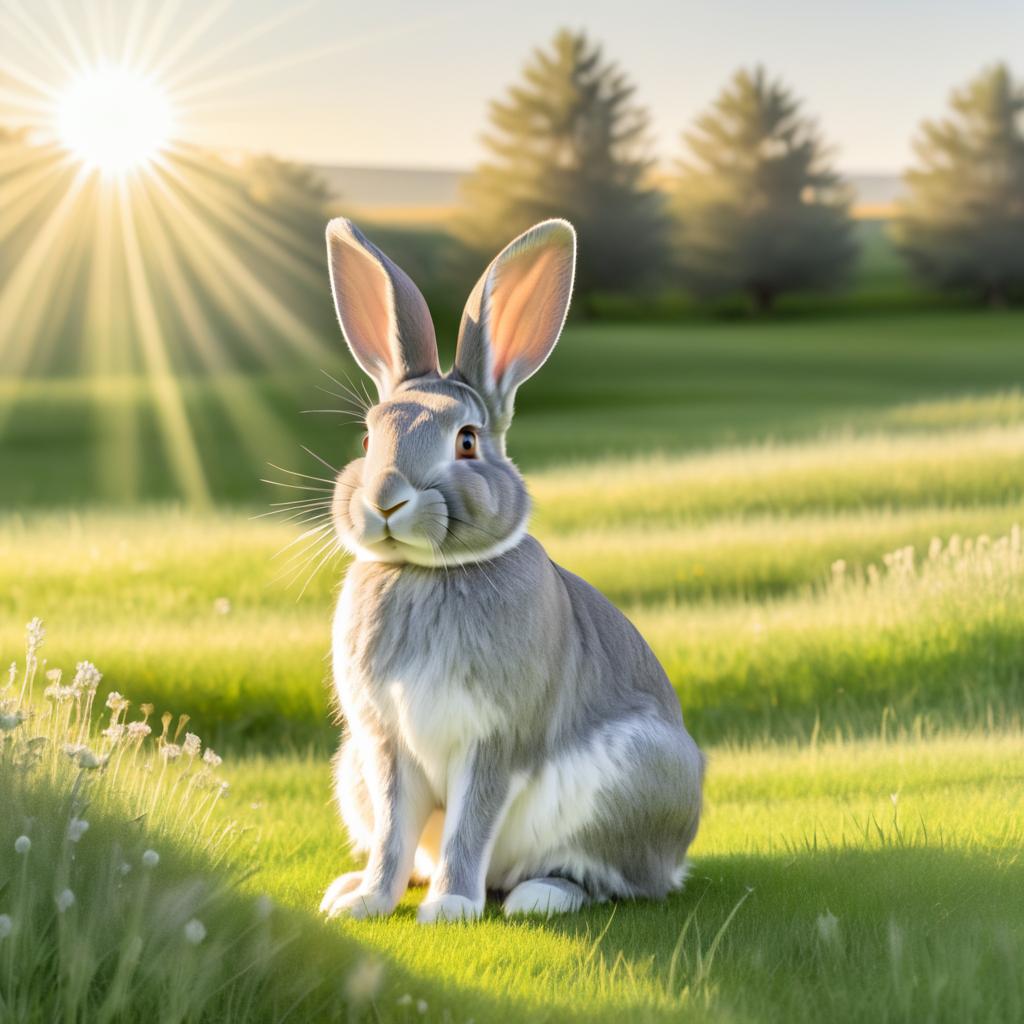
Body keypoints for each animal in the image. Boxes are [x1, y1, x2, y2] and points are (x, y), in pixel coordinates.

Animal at [319, 211, 704, 925]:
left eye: (467, 441)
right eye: (367, 437)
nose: (385, 498)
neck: (429, 572)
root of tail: (676, 858)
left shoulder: (496, 739)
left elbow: (472, 822)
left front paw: (450, 908)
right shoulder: (384, 744)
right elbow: (392, 830)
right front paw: (367, 902)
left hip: (628, 784)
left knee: (604, 878)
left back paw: (537, 897)